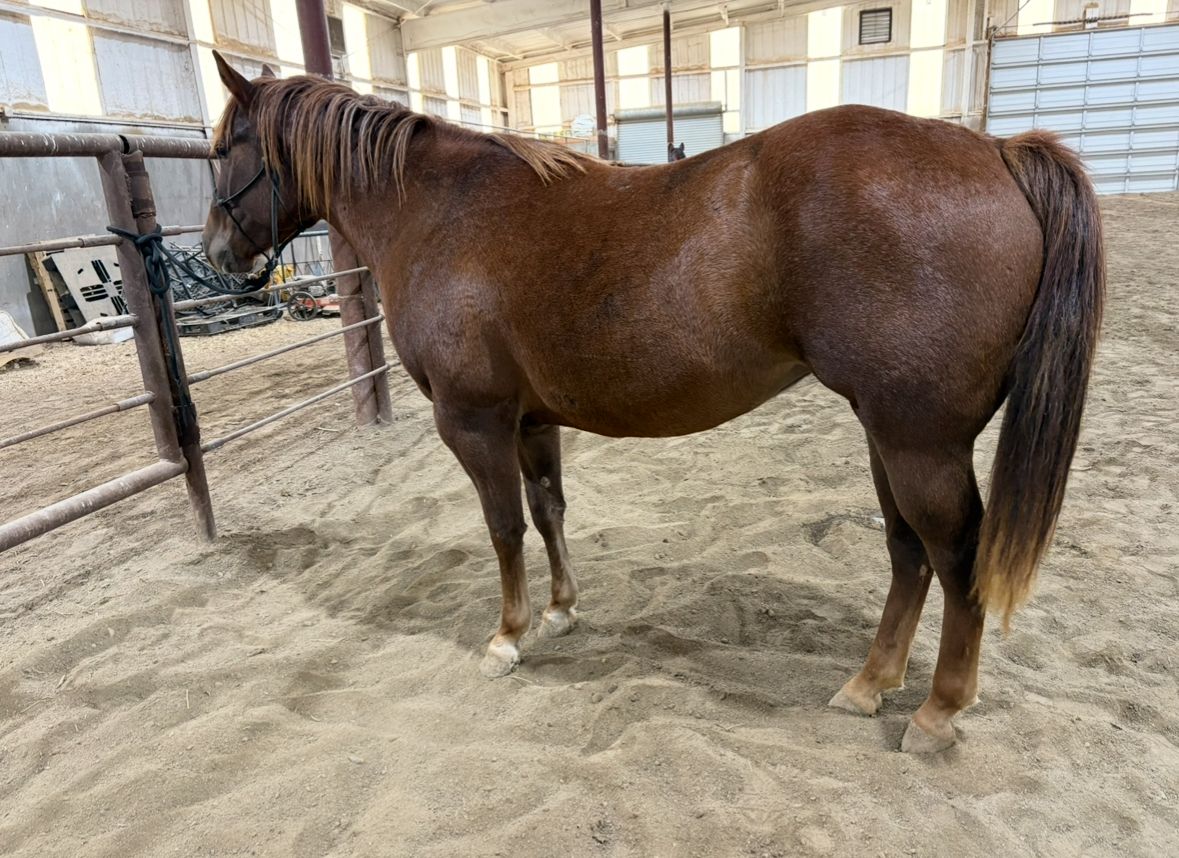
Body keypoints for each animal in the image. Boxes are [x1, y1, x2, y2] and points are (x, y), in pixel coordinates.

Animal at [202, 52, 1103, 753]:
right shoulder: (531, 422)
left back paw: (937, 709)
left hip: (918, 441)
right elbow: (548, 510)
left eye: (222, 149)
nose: (214, 255)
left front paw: (507, 635)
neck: (440, 213)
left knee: (955, 558)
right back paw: (869, 683)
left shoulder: (473, 419)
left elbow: (502, 527)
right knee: (906, 551)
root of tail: (996, 150)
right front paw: (561, 611)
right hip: (891, 435)